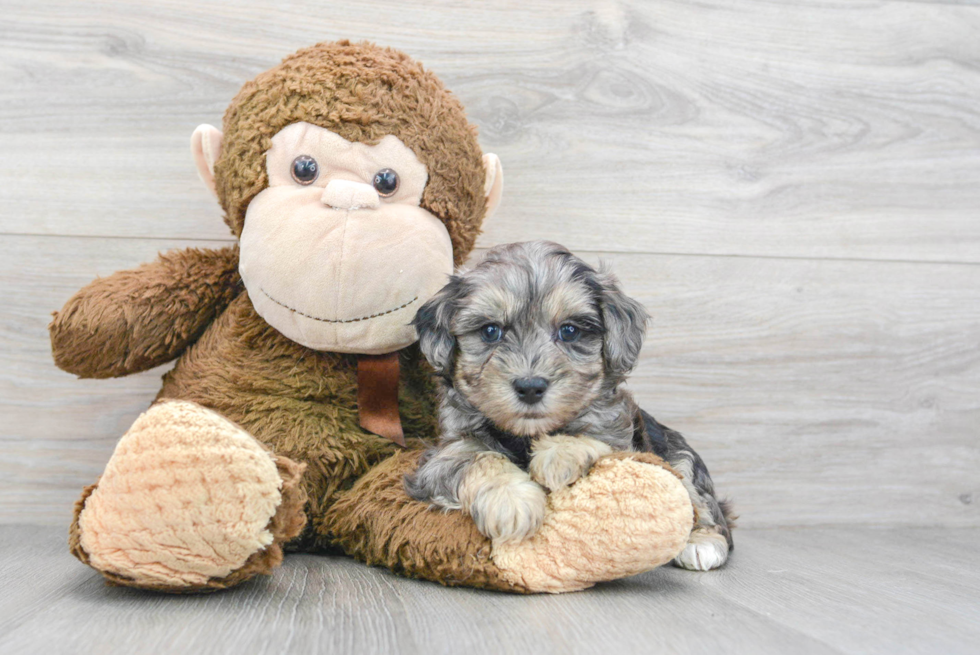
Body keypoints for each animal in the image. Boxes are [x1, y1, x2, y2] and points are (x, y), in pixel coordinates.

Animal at [402, 243, 732, 572]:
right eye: (490, 331)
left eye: (569, 331)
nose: (530, 387)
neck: (526, 434)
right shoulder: (443, 454)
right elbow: (477, 457)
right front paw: (512, 501)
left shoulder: (618, 435)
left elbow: (592, 436)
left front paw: (557, 456)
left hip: (680, 458)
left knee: (702, 503)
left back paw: (702, 543)